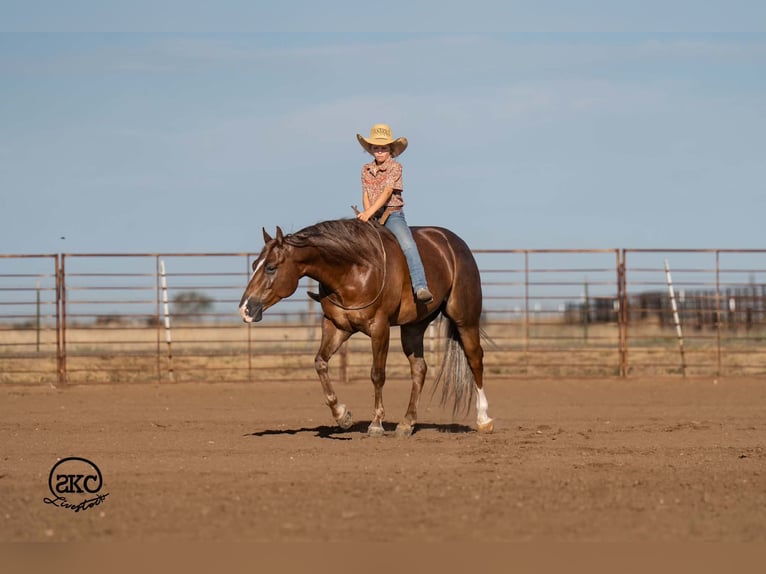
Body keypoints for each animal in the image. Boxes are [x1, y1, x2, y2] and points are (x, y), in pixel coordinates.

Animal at [239, 218, 493, 437]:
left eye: (271, 267)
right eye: (254, 264)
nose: (245, 309)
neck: (353, 270)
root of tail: (454, 244)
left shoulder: (379, 327)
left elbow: (377, 374)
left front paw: (376, 424)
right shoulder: (336, 326)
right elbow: (320, 363)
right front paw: (342, 415)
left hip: (464, 318)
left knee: (475, 359)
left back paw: (484, 420)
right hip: (413, 327)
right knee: (419, 369)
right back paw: (407, 423)